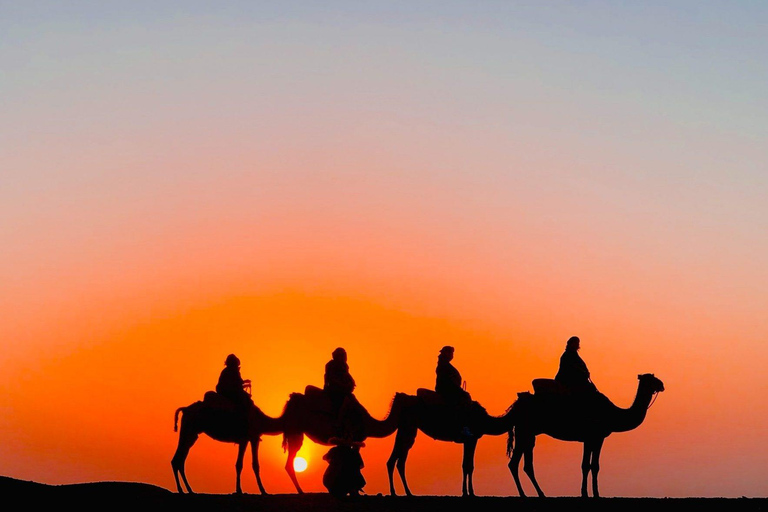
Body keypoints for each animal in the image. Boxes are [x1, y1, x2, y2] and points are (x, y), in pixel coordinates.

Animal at [384, 392, 516, 496]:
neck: (484, 420)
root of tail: (401, 398)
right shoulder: (471, 439)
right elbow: (468, 466)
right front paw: (469, 493)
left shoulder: (469, 440)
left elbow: (467, 465)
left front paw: (467, 492)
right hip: (408, 428)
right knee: (397, 460)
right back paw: (399, 492)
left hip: (406, 428)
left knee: (396, 461)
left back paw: (404, 492)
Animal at [504, 374, 664, 498]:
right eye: (651, 379)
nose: (662, 385)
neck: (613, 414)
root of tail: (516, 405)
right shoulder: (592, 437)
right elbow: (587, 465)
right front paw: (589, 493)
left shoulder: (595, 438)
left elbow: (593, 465)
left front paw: (592, 493)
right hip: (525, 431)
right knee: (516, 463)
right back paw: (527, 494)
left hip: (527, 433)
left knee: (522, 464)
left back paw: (537, 494)